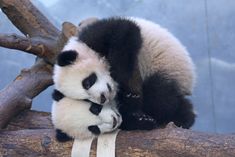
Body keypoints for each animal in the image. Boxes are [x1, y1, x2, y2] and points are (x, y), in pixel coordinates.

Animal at [57, 16, 196, 130]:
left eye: (88, 82)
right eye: (86, 99)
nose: (102, 98)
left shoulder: (98, 36)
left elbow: (126, 33)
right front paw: (136, 116)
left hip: (168, 68)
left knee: (159, 95)